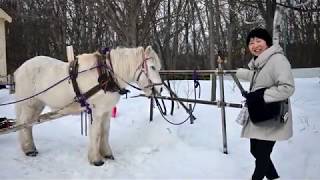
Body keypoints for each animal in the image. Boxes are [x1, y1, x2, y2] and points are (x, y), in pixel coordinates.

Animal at [14, 46, 162, 166]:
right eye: (152, 67)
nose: (160, 89)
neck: (106, 75)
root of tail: (19, 69)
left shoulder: (107, 111)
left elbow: (105, 131)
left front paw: (107, 153)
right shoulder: (97, 111)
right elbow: (96, 133)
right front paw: (96, 159)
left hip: (37, 104)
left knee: (28, 125)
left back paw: (30, 148)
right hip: (29, 103)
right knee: (24, 123)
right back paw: (29, 150)